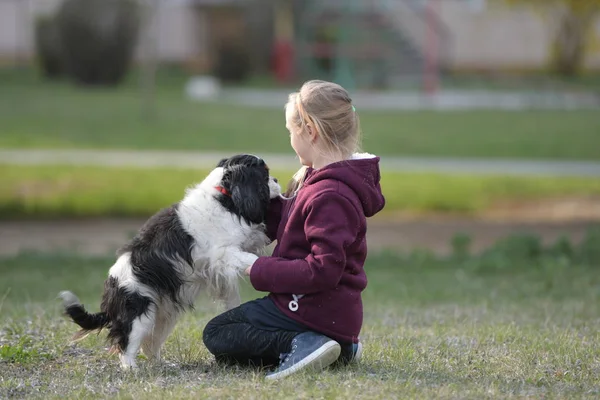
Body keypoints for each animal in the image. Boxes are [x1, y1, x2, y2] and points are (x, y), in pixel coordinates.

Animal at [58, 153, 282, 368]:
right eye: (265, 174)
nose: (277, 179)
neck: (224, 196)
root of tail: (110, 294)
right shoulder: (223, 253)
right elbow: (249, 258)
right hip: (139, 312)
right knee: (126, 343)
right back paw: (131, 368)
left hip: (163, 316)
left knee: (149, 345)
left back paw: (162, 363)